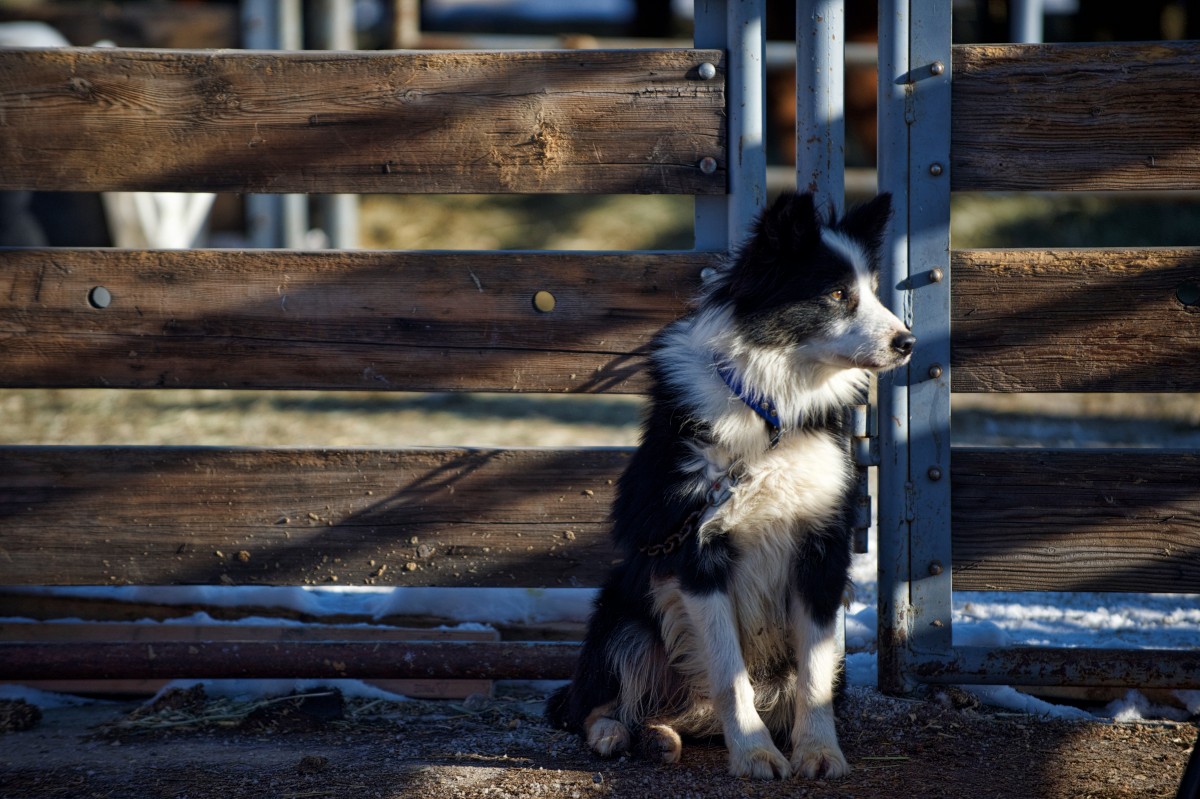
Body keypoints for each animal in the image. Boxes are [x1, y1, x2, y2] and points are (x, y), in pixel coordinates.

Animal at [549, 191, 912, 777]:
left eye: (875, 291)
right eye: (838, 293)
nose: (909, 342)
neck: (773, 414)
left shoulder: (821, 552)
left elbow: (815, 674)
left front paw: (818, 751)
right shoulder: (696, 554)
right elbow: (728, 671)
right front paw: (755, 753)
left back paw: (661, 737)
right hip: (623, 613)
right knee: (586, 701)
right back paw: (617, 733)